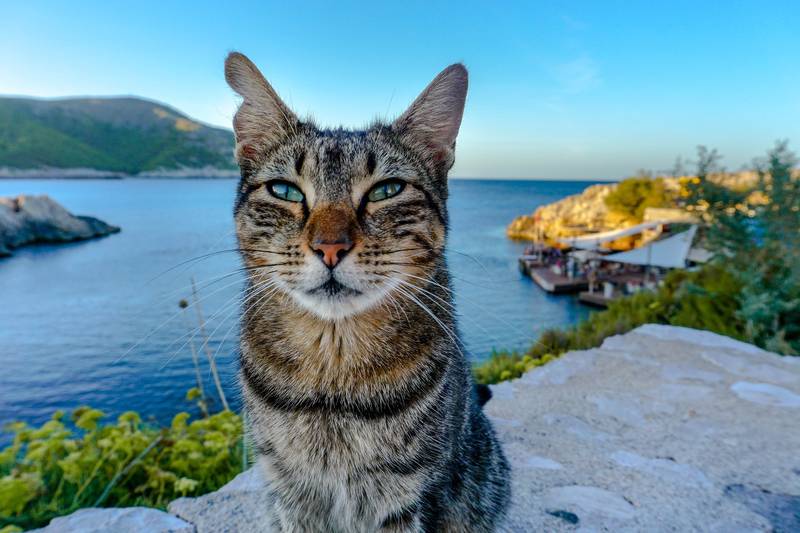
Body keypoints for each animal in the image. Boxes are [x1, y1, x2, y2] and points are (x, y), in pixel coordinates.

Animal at [225, 51, 510, 532]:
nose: (329, 247)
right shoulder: (288, 491)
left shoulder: (415, 494)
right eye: (284, 190)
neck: (332, 380)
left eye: (386, 190)